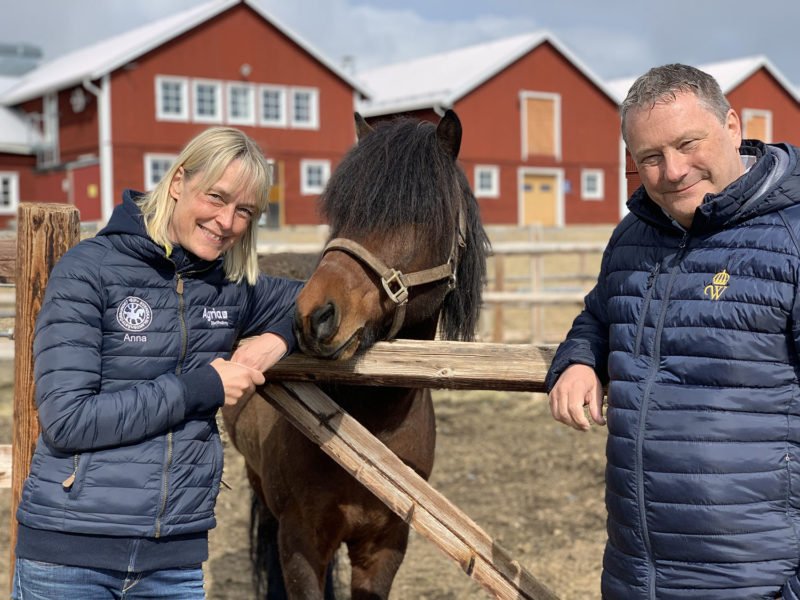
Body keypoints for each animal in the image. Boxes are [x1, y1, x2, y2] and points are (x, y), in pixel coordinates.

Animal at [222, 110, 490, 596]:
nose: (315, 315)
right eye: (342, 212)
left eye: (422, 216)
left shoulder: (385, 548)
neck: (372, 428)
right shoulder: (301, 545)